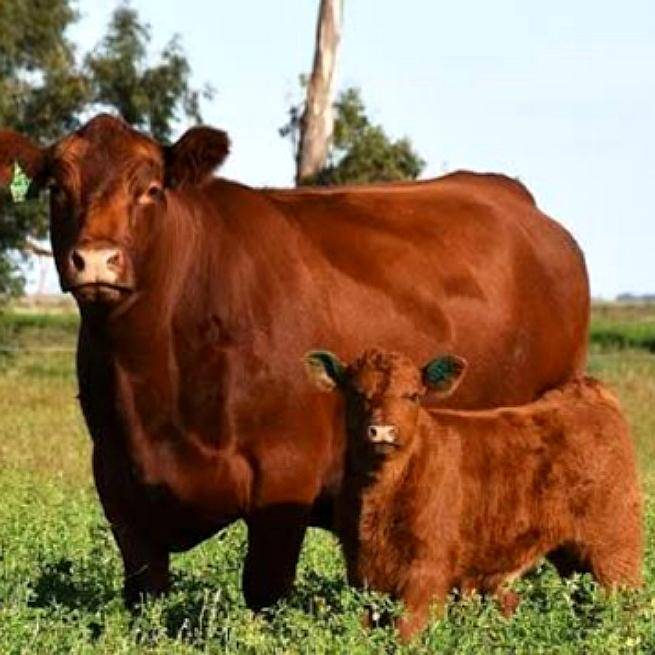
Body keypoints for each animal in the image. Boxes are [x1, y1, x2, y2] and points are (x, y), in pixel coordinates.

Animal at [0, 114, 590, 609]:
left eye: (150, 190)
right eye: (58, 188)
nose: (96, 259)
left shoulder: (284, 478)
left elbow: (264, 591)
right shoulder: (117, 479)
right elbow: (145, 592)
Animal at [304, 348, 643, 641]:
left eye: (413, 395)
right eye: (356, 393)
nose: (382, 431)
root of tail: (588, 392)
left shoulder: (426, 570)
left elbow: (407, 631)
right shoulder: (359, 567)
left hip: (615, 549)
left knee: (625, 604)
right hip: (572, 555)